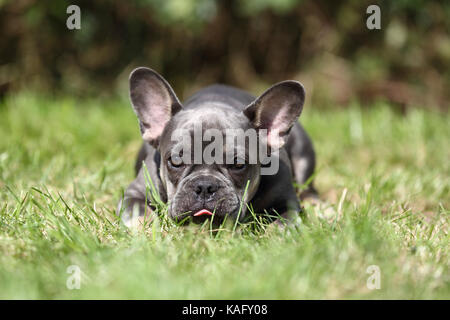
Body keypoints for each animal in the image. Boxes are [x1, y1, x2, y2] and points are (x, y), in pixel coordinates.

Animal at [118, 67, 316, 228]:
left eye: (238, 164)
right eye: (175, 161)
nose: (205, 186)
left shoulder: (286, 203)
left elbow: (283, 224)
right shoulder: (134, 193)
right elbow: (140, 215)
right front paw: (147, 232)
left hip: (303, 154)